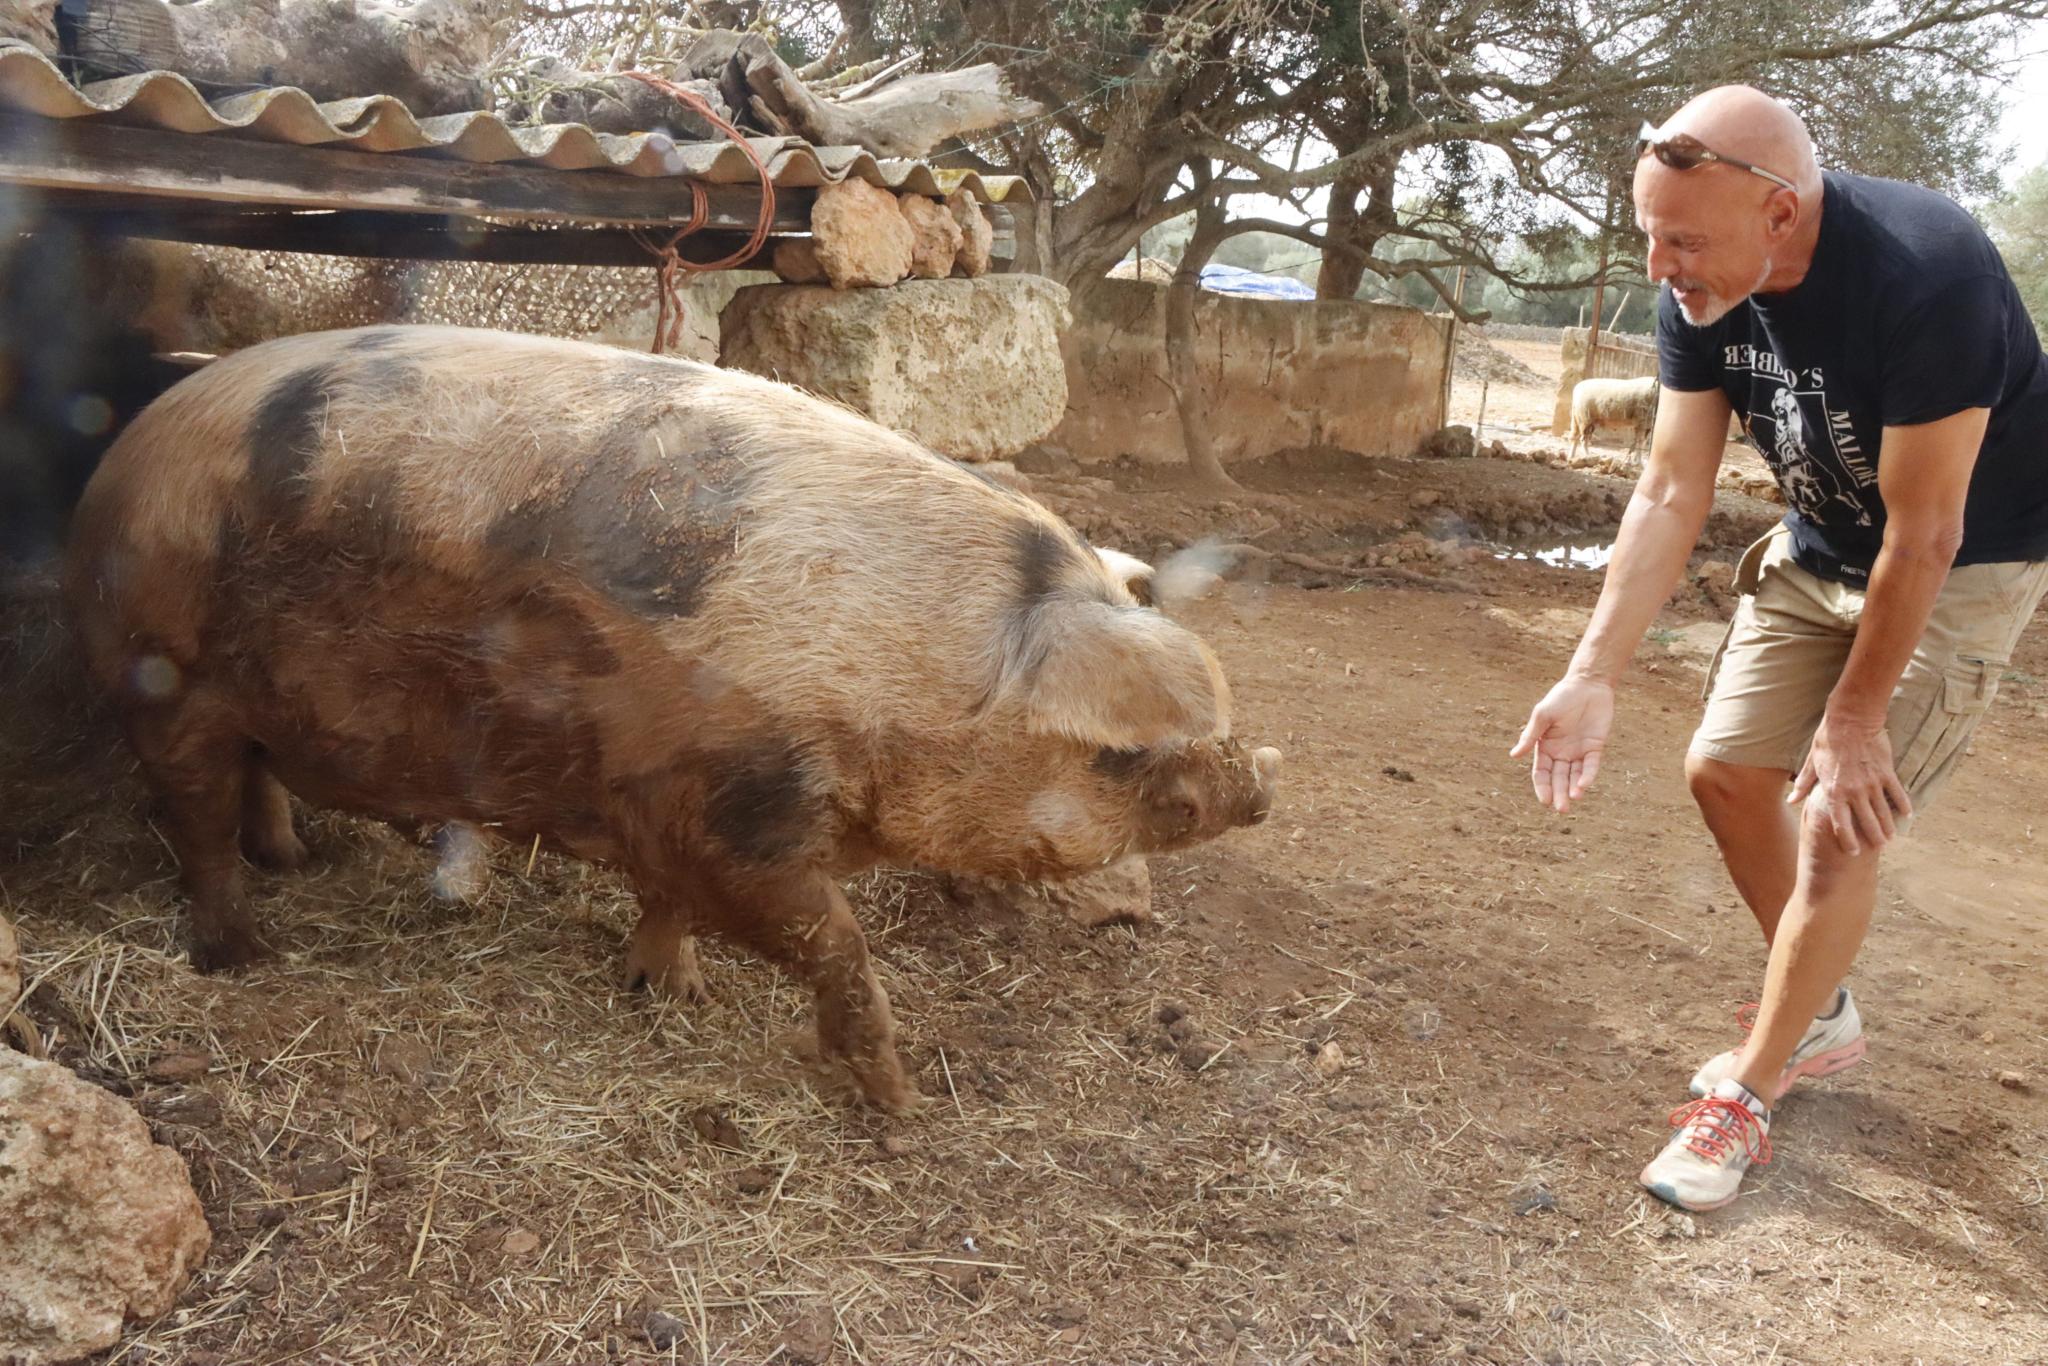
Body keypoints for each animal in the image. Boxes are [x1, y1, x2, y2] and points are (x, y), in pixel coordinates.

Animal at [61, 324, 1280, 1111]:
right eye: (1116, 755)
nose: (1254, 785)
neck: (905, 682)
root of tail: (130, 445)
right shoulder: (738, 811)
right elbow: (829, 940)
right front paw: (899, 1110)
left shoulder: (669, 800)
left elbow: (673, 901)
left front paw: (667, 992)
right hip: (160, 672)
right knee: (195, 816)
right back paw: (242, 954)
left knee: (255, 779)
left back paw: (297, 863)